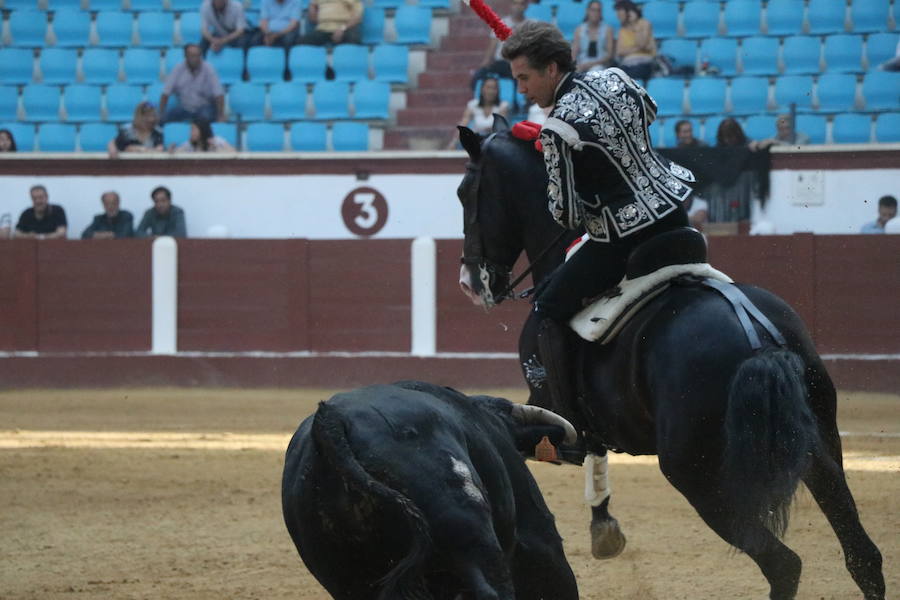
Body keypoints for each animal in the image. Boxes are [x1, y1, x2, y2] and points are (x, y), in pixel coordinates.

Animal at [458, 123, 884, 600]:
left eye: (465, 192)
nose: (471, 282)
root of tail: (759, 342)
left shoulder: (543, 413)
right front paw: (604, 528)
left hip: (697, 477)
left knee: (783, 563)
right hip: (820, 446)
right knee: (862, 555)